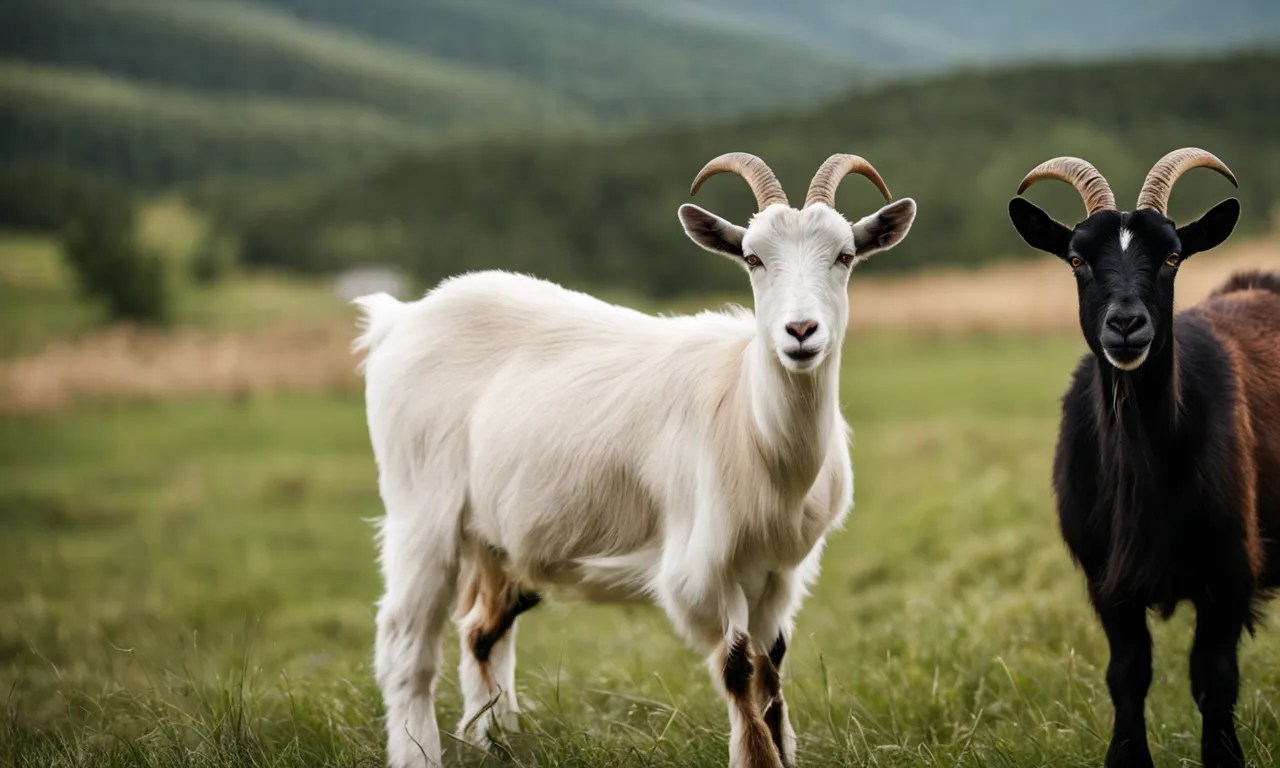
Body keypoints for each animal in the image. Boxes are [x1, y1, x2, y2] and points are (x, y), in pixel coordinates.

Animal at [355, 152, 917, 768]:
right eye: (753, 257)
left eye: (845, 255)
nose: (800, 332)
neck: (754, 427)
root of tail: (398, 320)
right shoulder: (701, 568)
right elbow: (738, 669)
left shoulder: (780, 570)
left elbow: (772, 671)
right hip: (421, 512)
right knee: (405, 647)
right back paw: (421, 750)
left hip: (498, 535)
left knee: (483, 630)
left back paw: (496, 741)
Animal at [1008, 148, 1280, 768]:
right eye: (1077, 259)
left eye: (1173, 256)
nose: (1127, 325)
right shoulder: (1108, 580)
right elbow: (1127, 674)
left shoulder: (1229, 572)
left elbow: (1215, 678)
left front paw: (1224, 757)